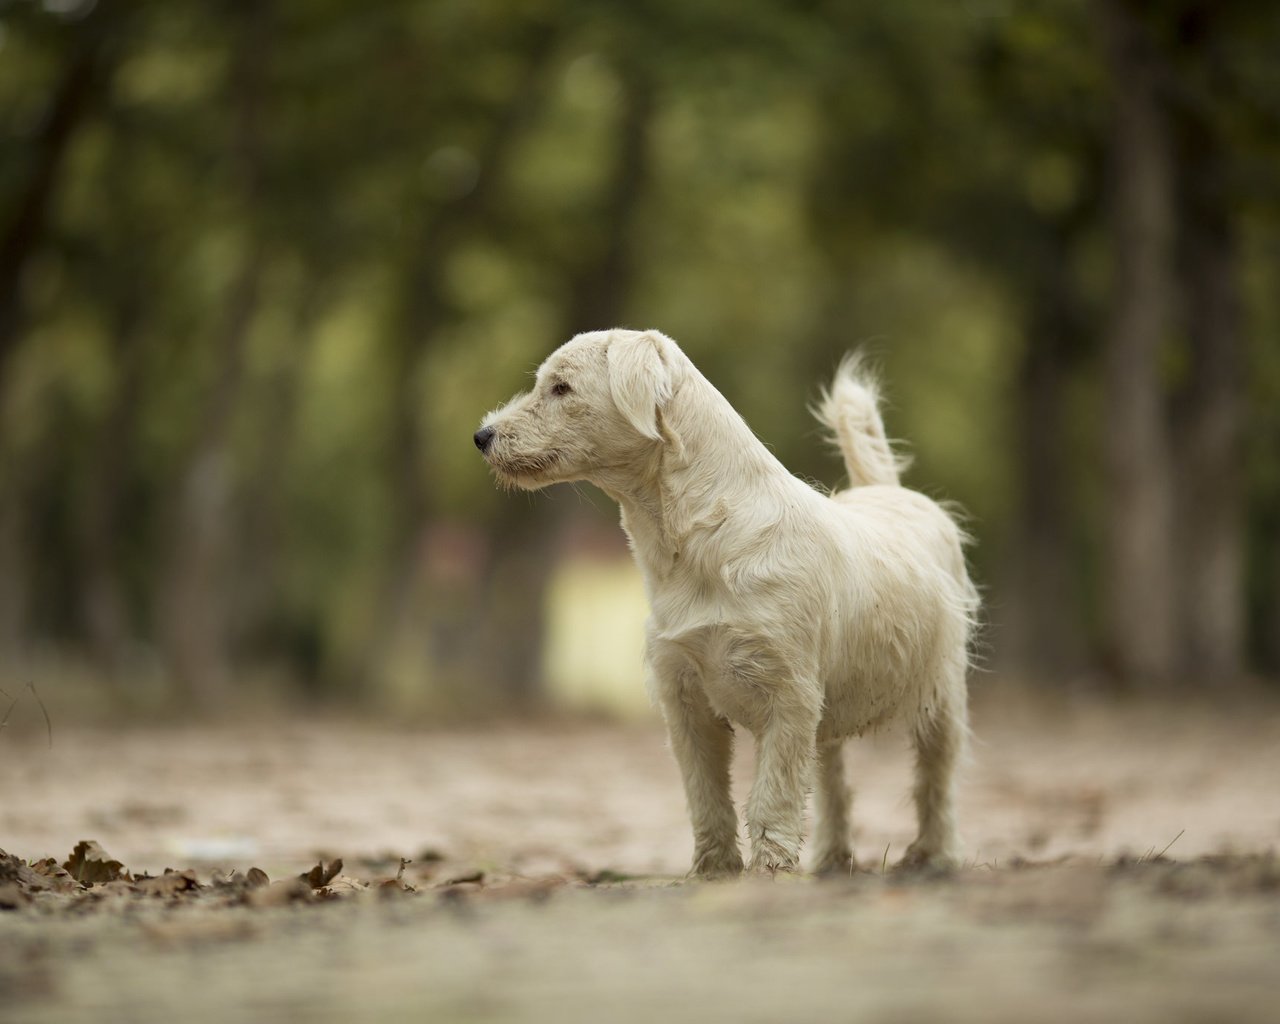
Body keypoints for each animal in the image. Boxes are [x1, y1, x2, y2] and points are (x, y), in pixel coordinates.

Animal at [476, 332, 972, 875]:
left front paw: (769, 870)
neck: (699, 537)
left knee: (936, 778)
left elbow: (773, 795)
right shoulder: (686, 699)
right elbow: (706, 795)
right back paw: (831, 859)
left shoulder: (789, 699)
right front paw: (714, 869)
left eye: (561, 387)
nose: (482, 436)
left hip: (941, 697)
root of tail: (890, 492)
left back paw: (933, 854)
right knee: (835, 784)